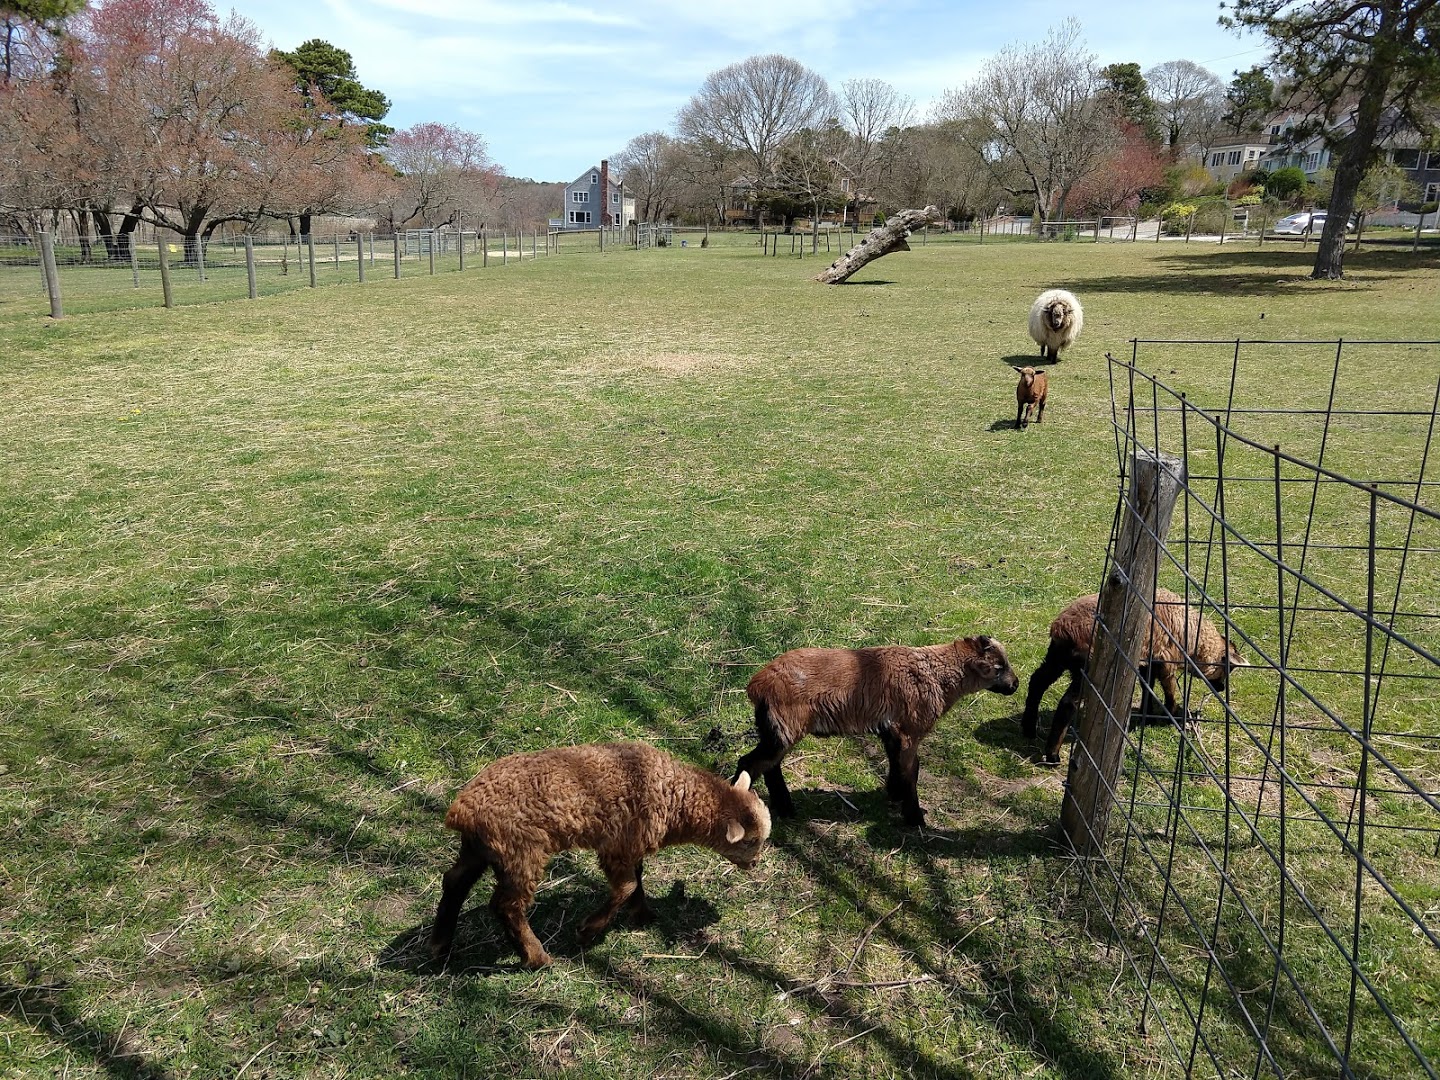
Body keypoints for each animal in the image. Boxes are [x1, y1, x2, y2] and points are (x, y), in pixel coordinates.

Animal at [429, 742, 771, 968]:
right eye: (750, 841)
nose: (754, 864)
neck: (676, 798)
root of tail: (461, 811)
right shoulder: (617, 846)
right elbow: (627, 886)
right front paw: (588, 930)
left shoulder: (631, 844)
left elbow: (637, 879)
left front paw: (642, 915)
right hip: (521, 851)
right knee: (507, 905)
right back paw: (537, 957)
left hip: (480, 847)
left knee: (454, 881)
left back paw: (440, 946)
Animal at [734, 635, 1019, 827]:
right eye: (998, 667)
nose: (1016, 685)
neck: (937, 674)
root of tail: (758, 684)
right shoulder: (910, 730)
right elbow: (911, 771)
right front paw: (914, 817)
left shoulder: (892, 729)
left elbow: (899, 764)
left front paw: (894, 794)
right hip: (785, 728)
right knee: (751, 763)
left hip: (776, 730)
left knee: (769, 766)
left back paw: (785, 809)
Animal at [1022, 588, 1250, 764]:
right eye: (1228, 669)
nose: (1221, 688)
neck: (1194, 640)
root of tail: (1063, 629)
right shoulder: (1166, 659)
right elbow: (1169, 688)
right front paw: (1171, 712)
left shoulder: (1147, 659)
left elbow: (1147, 685)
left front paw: (1147, 714)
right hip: (1087, 665)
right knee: (1068, 703)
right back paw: (1052, 755)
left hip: (1056, 657)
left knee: (1036, 682)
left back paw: (1029, 729)